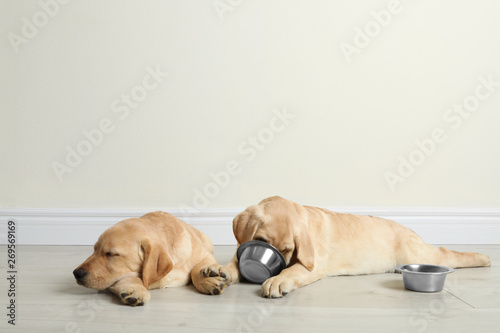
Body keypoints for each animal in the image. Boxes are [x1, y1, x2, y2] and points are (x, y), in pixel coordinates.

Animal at [73, 211, 225, 304]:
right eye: (94, 250)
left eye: (111, 254)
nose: (76, 273)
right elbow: (129, 277)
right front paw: (135, 289)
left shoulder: (205, 255)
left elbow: (196, 269)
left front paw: (208, 279)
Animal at [196, 196, 492, 296]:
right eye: (262, 242)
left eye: (288, 250)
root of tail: (410, 230)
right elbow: (235, 262)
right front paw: (219, 270)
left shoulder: (311, 265)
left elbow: (292, 270)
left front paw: (277, 281)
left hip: (420, 252)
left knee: (446, 253)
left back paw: (483, 257)